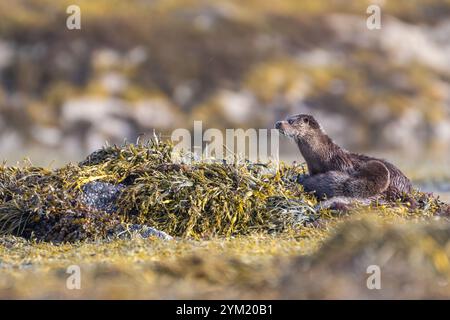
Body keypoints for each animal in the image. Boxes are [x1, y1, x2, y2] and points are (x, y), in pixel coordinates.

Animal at [274, 115, 412, 205]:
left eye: (290, 121)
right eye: (286, 117)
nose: (278, 123)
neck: (324, 155)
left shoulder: (343, 165)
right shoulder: (313, 169)